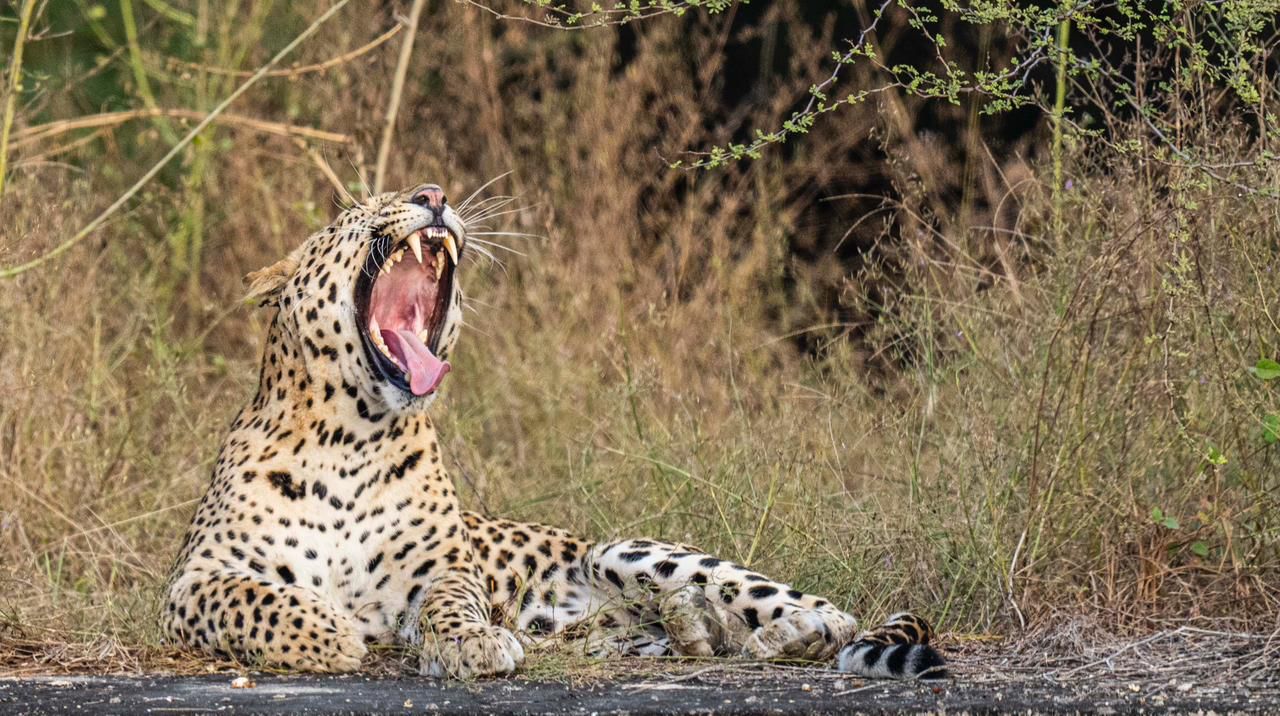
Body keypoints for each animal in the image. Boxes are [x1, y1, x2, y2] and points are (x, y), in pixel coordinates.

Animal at [162, 183, 947, 681]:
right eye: (359, 210)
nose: (433, 194)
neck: (352, 435)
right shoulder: (191, 581)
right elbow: (255, 598)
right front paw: (330, 633)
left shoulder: (443, 568)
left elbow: (453, 602)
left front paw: (474, 644)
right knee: (680, 635)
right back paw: (693, 627)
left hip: (625, 549)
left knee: (824, 611)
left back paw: (781, 631)